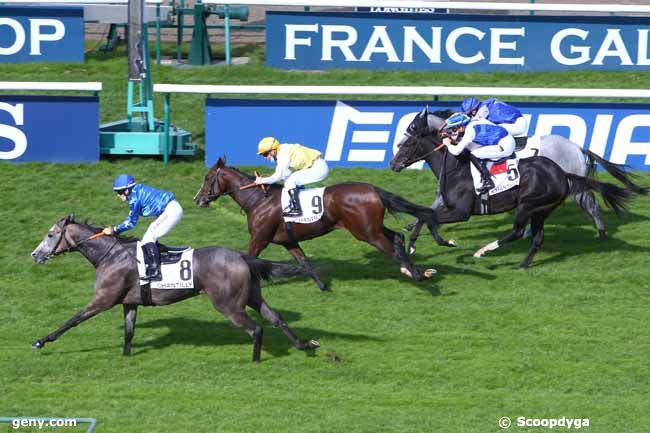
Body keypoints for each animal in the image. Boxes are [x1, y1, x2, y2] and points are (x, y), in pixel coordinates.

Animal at [30, 215, 318, 362]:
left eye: (50, 235)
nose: (35, 254)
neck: (110, 254)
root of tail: (241, 256)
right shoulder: (129, 302)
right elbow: (129, 332)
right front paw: (126, 356)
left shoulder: (103, 299)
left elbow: (72, 320)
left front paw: (41, 341)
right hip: (252, 296)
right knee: (276, 318)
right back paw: (304, 345)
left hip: (228, 304)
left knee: (256, 328)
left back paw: (256, 359)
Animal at [195, 156, 454, 290]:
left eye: (207, 178)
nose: (198, 199)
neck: (258, 200)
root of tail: (373, 190)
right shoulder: (287, 241)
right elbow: (304, 260)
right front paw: (322, 285)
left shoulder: (259, 238)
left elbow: (248, 258)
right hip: (372, 228)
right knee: (398, 238)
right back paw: (414, 270)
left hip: (366, 233)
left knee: (393, 248)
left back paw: (417, 275)